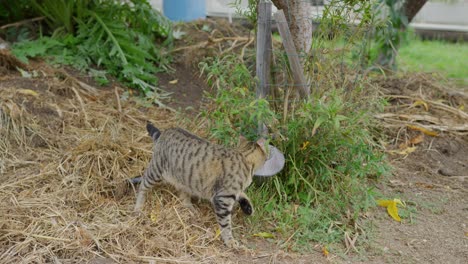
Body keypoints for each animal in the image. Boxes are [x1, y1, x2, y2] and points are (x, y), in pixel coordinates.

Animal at [134, 121, 266, 248]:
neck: (244, 156)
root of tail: (165, 131)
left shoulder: (230, 192)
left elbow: (243, 195)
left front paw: (248, 208)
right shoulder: (222, 199)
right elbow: (226, 224)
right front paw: (230, 241)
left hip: (183, 178)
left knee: (183, 194)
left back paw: (190, 208)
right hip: (156, 171)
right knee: (143, 185)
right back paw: (138, 207)